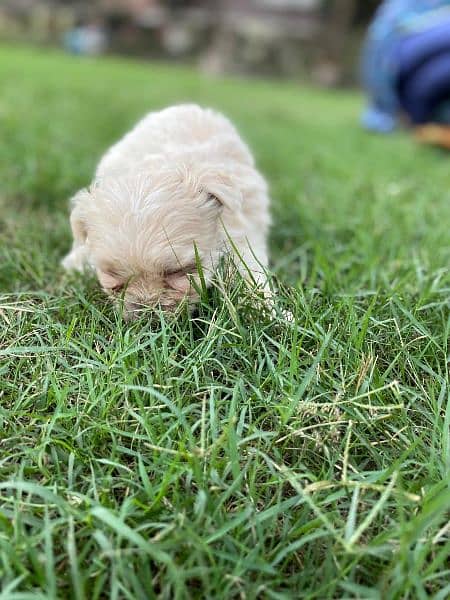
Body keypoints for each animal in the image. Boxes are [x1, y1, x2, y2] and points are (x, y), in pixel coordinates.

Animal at [62, 103, 270, 318]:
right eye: (111, 276)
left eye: (179, 272)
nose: (146, 309)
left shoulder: (240, 228)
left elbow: (247, 267)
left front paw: (263, 309)